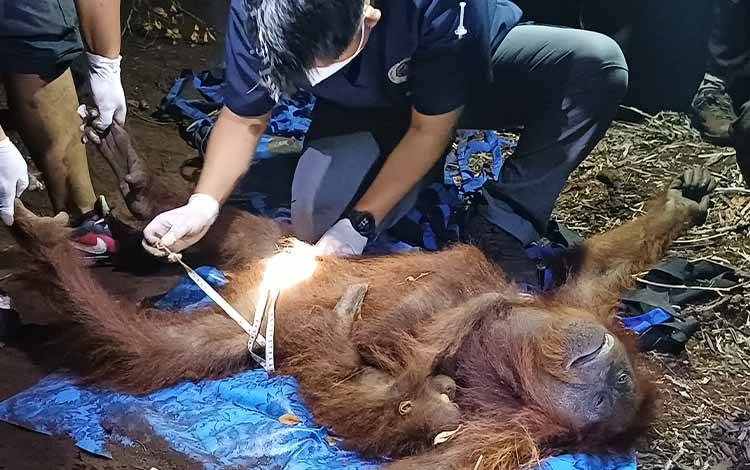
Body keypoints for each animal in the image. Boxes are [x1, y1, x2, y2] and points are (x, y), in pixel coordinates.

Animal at [6, 124, 717, 469]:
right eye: (609, 376)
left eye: (606, 398)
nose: (612, 377)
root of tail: (246, 295)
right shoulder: (565, 304)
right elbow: (593, 271)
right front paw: (682, 204)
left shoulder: (508, 436)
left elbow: (402, 437)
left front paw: (409, 393)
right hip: (282, 249)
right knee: (233, 229)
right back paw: (130, 187)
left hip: (244, 323)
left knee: (154, 347)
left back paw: (42, 238)